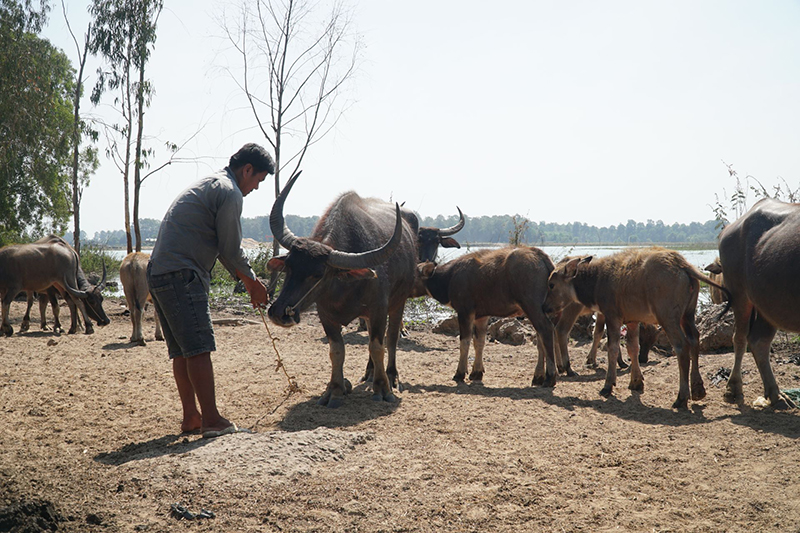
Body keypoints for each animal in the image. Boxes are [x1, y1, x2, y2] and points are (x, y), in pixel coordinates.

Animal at [268, 172, 418, 406]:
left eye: (318, 274)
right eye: (289, 266)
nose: (278, 312)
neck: (344, 288)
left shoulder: (379, 309)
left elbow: (378, 346)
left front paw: (382, 387)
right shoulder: (326, 315)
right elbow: (337, 350)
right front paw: (335, 390)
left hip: (399, 302)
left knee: (391, 337)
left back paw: (391, 375)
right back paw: (369, 372)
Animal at [412, 245, 556, 386]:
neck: (449, 277)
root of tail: (541, 256)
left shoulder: (465, 312)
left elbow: (465, 342)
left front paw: (460, 373)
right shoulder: (481, 316)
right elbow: (479, 342)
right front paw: (476, 372)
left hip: (532, 306)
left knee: (546, 330)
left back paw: (550, 377)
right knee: (540, 338)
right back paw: (538, 376)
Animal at [544, 246, 732, 408]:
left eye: (551, 284)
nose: (545, 307)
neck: (597, 279)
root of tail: (682, 264)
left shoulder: (612, 317)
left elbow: (613, 349)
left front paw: (608, 385)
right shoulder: (632, 321)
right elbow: (633, 348)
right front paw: (636, 381)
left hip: (669, 319)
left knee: (681, 347)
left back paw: (681, 397)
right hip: (687, 316)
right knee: (694, 340)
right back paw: (698, 389)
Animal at [720, 197, 800, 410]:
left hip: (768, 304)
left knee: (759, 341)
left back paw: (776, 394)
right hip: (739, 294)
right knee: (740, 338)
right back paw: (733, 389)